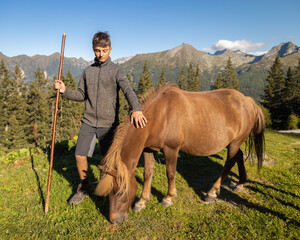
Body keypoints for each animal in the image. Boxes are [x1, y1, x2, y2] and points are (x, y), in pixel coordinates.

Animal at [95, 84, 264, 225]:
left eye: (121, 192)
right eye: (109, 193)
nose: (115, 221)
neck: (160, 114)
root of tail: (247, 101)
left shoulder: (171, 149)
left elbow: (170, 173)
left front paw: (168, 198)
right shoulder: (149, 149)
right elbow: (147, 173)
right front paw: (142, 201)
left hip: (235, 142)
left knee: (229, 163)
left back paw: (212, 193)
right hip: (234, 142)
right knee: (239, 157)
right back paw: (240, 183)